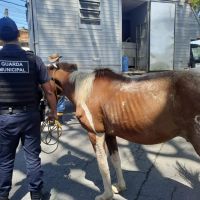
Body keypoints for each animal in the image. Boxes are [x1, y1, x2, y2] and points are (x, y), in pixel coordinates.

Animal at [48, 63, 200, 199]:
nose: (50, 115)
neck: (85, 89)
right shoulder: (110, 134)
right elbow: (115, 160)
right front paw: (119, 187)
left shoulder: (95, 134)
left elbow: (102, 166)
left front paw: (106, 195)